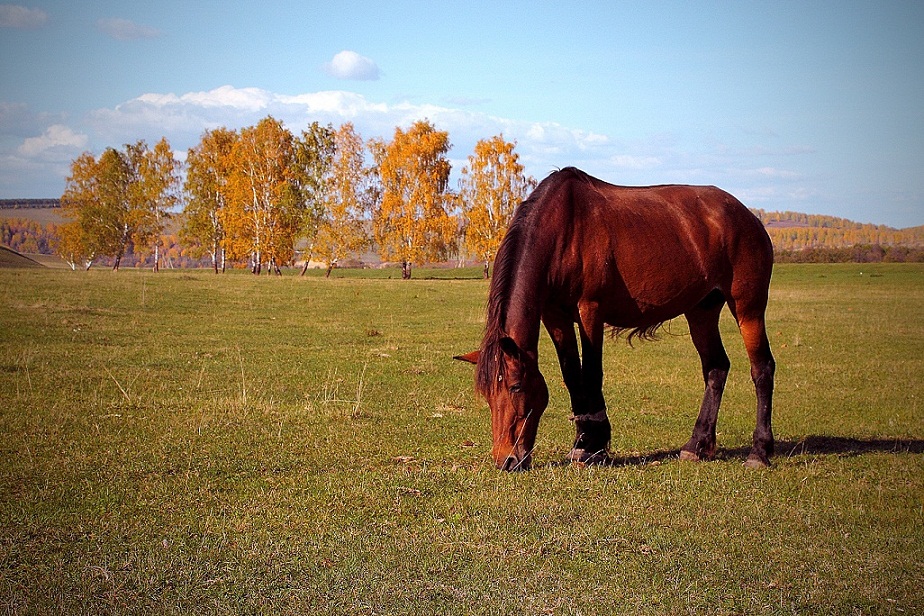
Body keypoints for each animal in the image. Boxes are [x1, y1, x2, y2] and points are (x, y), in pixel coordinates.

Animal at [458, 167, 776, 472]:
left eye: (515, 387)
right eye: (487, 394)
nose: (506, 460)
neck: (562, 230)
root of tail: (747, 215)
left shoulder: (591, 311)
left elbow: (591, 374)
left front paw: (592, 445)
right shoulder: (555, 315)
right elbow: (571, 375)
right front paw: (582, 441)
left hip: (748, 307)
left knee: (762, 368)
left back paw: (759, 452)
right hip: (702, 311)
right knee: (716, 368)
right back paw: (697, 444)